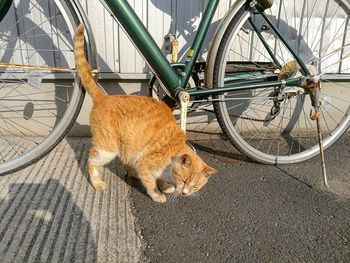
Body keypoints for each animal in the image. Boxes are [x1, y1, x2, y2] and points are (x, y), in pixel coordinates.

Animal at [74, 24, 216, 203]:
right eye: (183, 180)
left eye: (195, 187)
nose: (185, 193)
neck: (171, 159)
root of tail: (104, 97)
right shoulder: (145, 165)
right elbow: (151, 183)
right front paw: (158, 195)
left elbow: (161, 180)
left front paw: (166, 187)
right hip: (107, 148)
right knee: (91, 160)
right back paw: (97, 182)